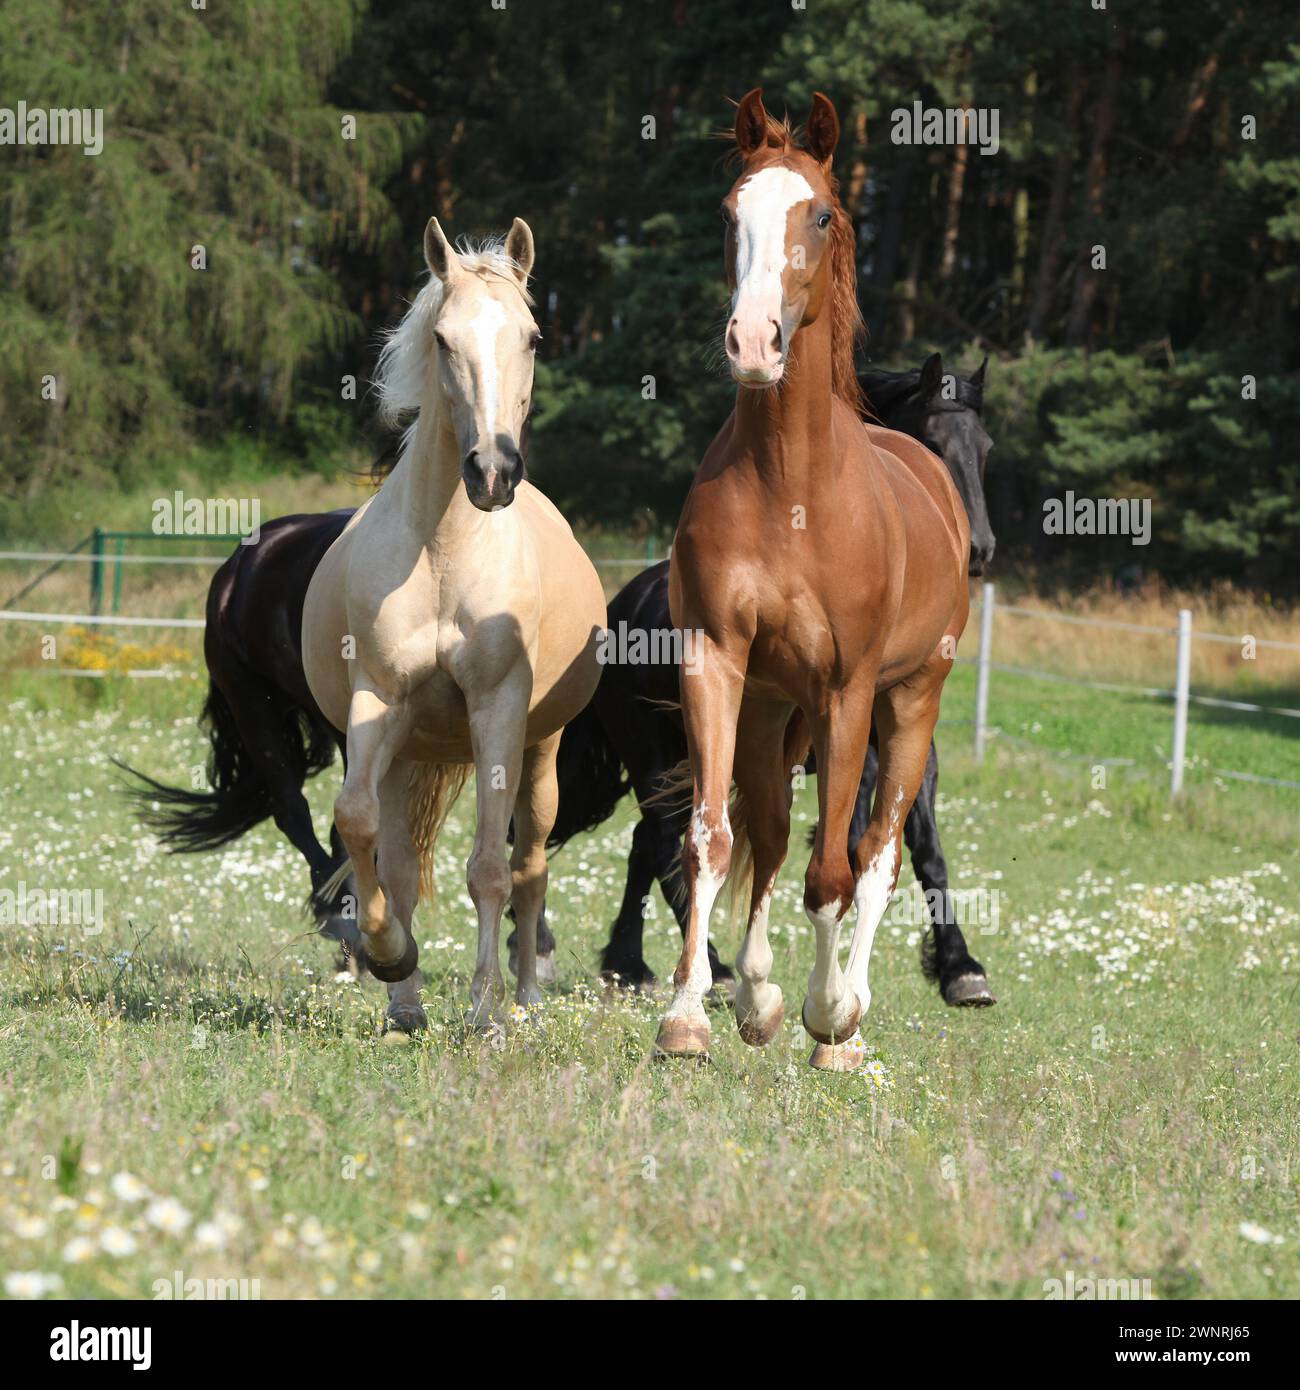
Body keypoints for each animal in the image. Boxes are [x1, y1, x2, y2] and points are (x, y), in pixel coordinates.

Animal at [299, 218, 604, 1034]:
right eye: (442, 338)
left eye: (532, 337)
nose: (493, 472)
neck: (443, 549)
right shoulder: (379, 699)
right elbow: (358, 825)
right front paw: (388, 957)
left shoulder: (497, 707)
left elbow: (490, 869)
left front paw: (487, 1011)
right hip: (409, 750)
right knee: (401, 863)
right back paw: (404, 1003)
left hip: (540, 749)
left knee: (530, 866)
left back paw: (526, 998)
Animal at [539, 354, 995, 1007]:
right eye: (932, 440)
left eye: (983, 447)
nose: (978, 549)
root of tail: (620, 604)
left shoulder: (909, 743)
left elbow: (925, 849)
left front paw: (961, 968)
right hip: (659, 758)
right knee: (664, 845)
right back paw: (699, 967)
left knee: (645, 848)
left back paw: (631, 964)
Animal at [653, 90, 971, 1069]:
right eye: (731, 213)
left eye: (821, 214)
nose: (754, 342)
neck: (791, 489)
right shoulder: (718, 664)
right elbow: (713, 841)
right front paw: (692, 1016)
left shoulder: (847, 690)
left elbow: (835, 867)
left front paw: (828, 1014)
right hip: (770, 710)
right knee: (767, 833)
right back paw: (758, 998)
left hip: (909, 703)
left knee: (877, 854)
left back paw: (845, 1022)